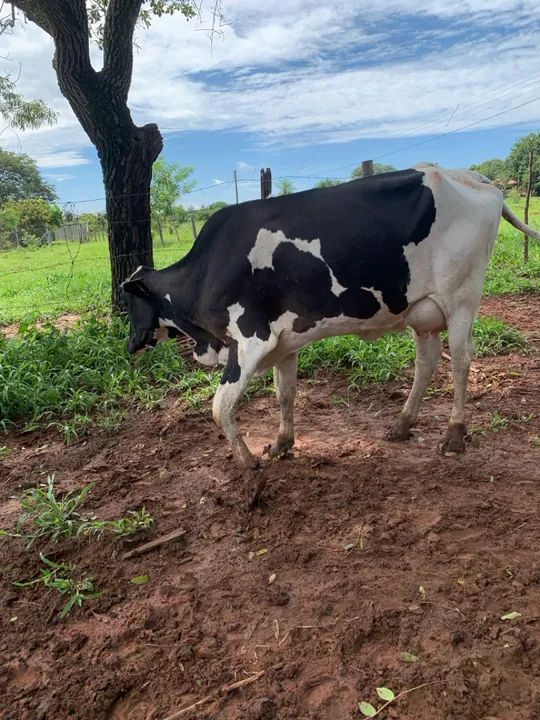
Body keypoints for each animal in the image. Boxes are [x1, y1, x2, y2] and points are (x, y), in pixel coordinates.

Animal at [123, 163, 540, 474]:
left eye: (129, 302)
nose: (130, 345)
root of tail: (474, 177)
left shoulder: (250, 339)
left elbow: (220, 406)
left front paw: (248, 468)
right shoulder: (284, 343)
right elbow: (285, 392)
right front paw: (282, 444)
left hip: (461, 301)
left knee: (461, 361)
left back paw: (454, 435)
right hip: (423, 310)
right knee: (427, 362)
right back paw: (402, 424)